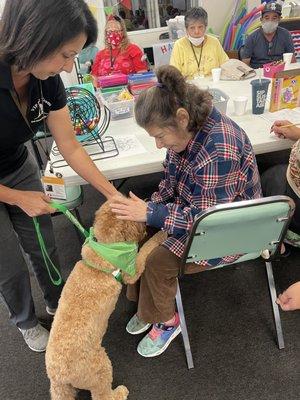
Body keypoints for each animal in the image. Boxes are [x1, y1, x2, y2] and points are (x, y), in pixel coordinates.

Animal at [45, 202, 166, 398]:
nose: (147, 205)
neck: (104, 249)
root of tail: (59, 375)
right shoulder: (131, 272)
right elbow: (145, 250)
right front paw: (161, 235)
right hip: (100, 368)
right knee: (102, 395)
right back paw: (120, 392)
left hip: (61, 390)